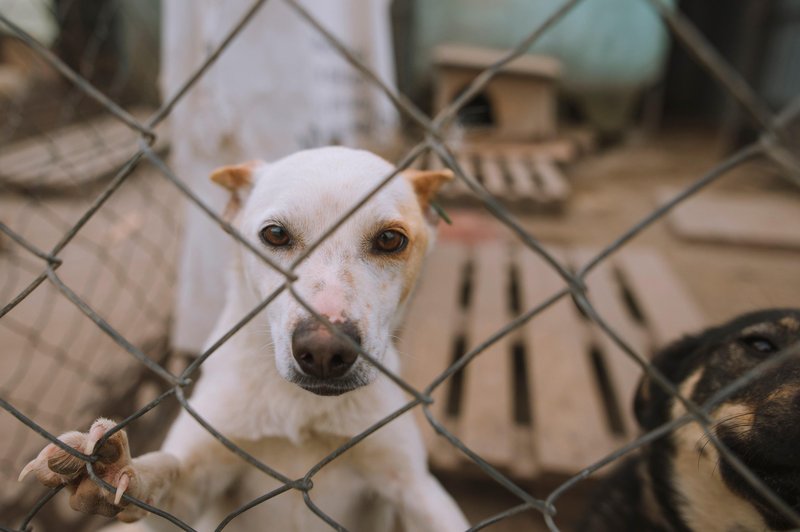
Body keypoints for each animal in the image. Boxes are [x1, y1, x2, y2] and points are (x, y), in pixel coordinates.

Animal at [20, 148, 468, 528]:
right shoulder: (198, 481)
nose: (324, 351)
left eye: (390, 239)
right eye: (275, 234)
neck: (299, 410)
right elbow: (167, 471)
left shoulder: (412, 485)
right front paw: (113, 468)